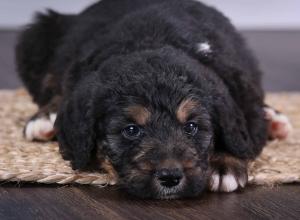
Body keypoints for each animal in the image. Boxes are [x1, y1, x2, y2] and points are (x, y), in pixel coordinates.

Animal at [15, 0, 290, 199]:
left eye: (192, 127)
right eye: (131, 130)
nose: (170, 177)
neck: (152, 40)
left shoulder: (242, 92)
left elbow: (242, 133)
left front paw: (225, 165)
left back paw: (274, 119)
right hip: (37, 37)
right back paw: (45, 117)